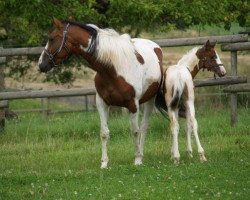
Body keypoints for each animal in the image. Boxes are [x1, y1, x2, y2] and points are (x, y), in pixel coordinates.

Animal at [37, 18, 162, 168]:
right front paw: (104, 163)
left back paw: (141, 155)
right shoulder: (102, 103)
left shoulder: (133, 105)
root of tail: (155, 46)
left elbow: (135, 131)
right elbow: (104, 133)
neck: (113, 69)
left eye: (51, 38)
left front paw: (137, 160)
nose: (41, 64)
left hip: (150, 100)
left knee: (143, 127)